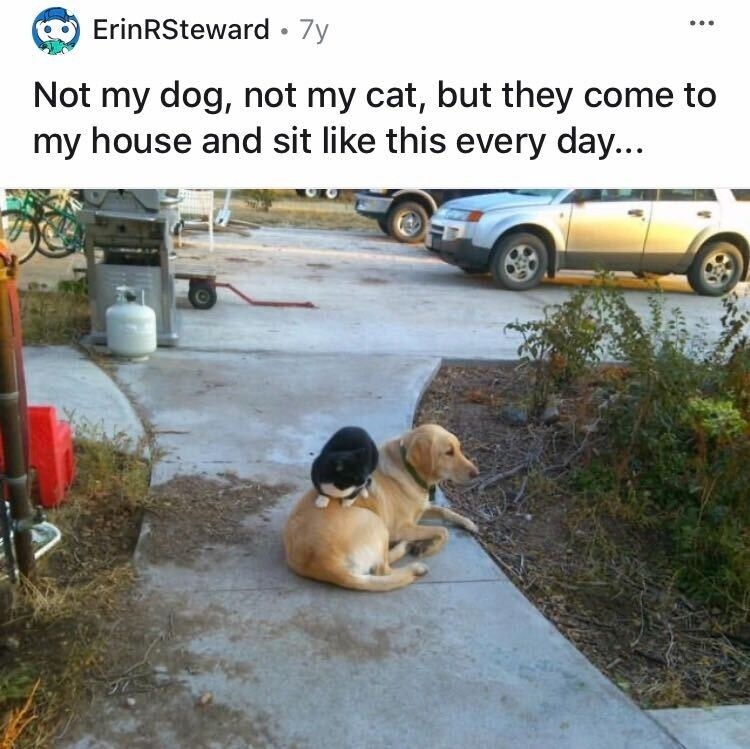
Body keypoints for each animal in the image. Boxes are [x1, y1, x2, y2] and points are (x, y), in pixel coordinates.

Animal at [282, 426, 482, 592]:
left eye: (459, 448)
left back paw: (407, 546)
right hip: (377, 524)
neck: (409, 470)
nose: (477, 474)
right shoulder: (401, 528)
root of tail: (325, 563)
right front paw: (429, 548)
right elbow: (442, 530)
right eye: (448, 452)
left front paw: (468, 523)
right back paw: (413, 562)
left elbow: (445, 512)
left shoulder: (423, 508)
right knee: (383, 570)